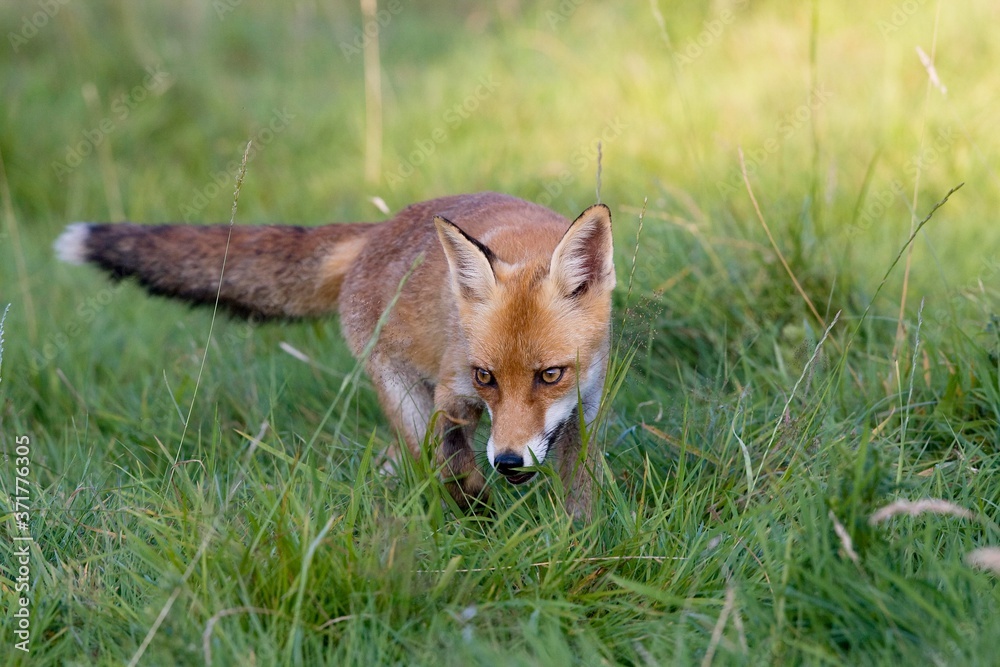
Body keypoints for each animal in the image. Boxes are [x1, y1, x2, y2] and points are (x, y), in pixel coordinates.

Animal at [54, 192, 615, 518]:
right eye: (486, 377)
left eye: (550, 375)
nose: (507, 461)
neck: (524, 241)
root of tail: (377, 230)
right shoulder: (452, 393)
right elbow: (456, 469)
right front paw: (479, 512)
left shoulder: (583, 410)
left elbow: (580, 495)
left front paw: (576, 546)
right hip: (403, 394)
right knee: (420, 455)